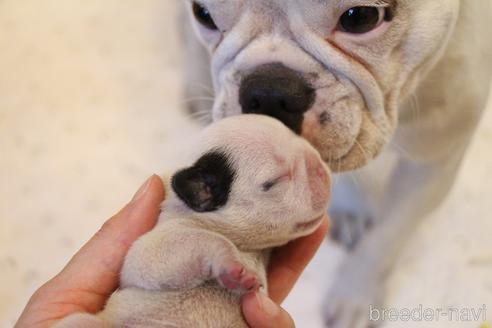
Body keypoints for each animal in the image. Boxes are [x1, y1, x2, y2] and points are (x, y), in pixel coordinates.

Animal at [53, 114, 330, 326]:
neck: (248, 247)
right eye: (273, 182)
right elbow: (198, 242)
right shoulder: (155, 245)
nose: (320, 167)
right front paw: (231, 265)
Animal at [181, 0, 492, 326]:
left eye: (361, 18)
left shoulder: (433, 160)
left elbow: (386, 236)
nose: (267, 92)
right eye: (203, 14)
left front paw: (355, 297)